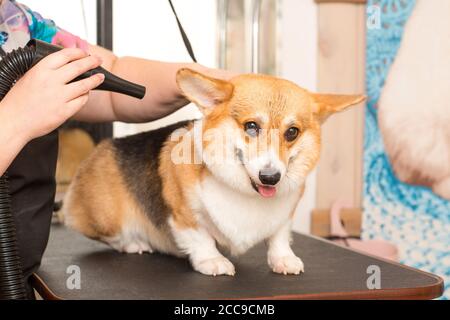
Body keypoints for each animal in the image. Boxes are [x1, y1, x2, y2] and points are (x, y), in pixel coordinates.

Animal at [63, 69, 366, 276]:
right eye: (251, 126)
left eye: (292, 132)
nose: (271, 178)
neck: (245, 193)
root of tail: (99, 149)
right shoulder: (183, 215)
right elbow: (200, 237)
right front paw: (213, 260)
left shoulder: (285, 214)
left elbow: (279, 236)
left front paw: (283, 259)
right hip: (106, 218)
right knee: (113, 236)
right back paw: (134, 243)